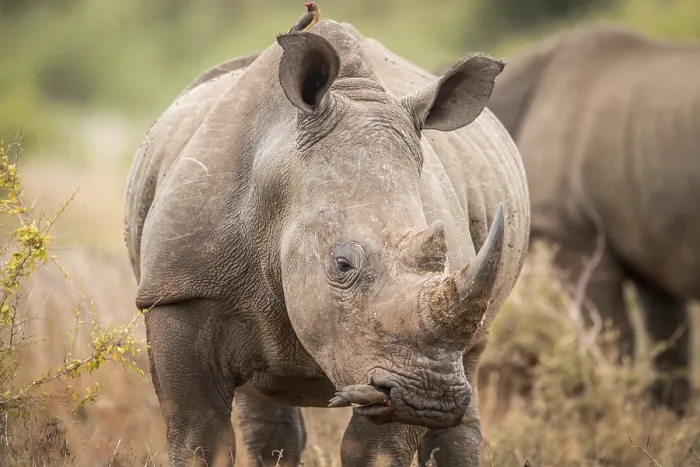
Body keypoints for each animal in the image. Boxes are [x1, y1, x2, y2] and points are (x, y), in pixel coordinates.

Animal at [124, 20, 530, 466]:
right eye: (342, 264)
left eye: (443, 262)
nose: (430, 398)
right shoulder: (180, 290)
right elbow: (198, 433)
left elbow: (376, 451)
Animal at [487, 25, 700, 413]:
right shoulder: (652, 240)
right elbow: (669, 343)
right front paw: (666, 421)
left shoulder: (572, 236)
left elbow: (608, 336)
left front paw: (620, 411)